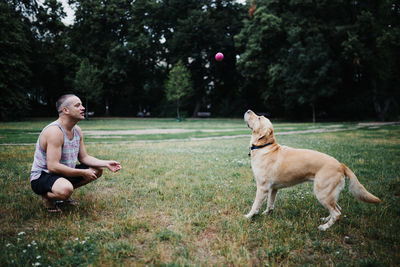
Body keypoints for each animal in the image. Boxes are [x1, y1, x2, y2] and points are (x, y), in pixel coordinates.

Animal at [242, 110, 380, 231]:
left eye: (259, 118)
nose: (248, 110)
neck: (265, 147)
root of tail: (341, 165)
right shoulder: (273, 189)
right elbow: (270, 204)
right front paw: (266, 213)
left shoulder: (262, 187)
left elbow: (255, 205)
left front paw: (249, 216)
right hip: (330, 194)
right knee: (338, 209)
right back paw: (326, 219)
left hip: (322, 193)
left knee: (337, 213)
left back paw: (324, 227)